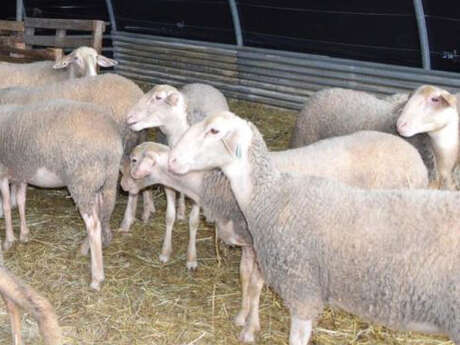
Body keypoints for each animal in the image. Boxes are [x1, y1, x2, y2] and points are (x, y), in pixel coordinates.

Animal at [0, 99, 124, 290]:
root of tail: (113, 141)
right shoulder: (22, 173)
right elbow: (21, 201)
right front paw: (24, 234)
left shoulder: (3, 171)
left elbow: (7, 205)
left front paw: (9, 240)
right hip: (96, 182)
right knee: (100, 213)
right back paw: (85, 249)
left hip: (82, 180)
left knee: (94, 224)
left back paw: (96, 277)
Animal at [126, 82, 230, 268]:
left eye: (158, 97)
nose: (129, 116)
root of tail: (202, 84)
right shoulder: (167, 181)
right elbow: (169, 217)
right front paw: (165, 252)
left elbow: (194, 222)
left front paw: (191, 258)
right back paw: (181, 210)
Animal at [169, 110, 460, 344]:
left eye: (214, 130)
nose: (173, 160)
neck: (269, 191)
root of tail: (410, 152)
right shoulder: (251, 245)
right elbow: (244, 277)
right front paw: (242, 318)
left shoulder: (297, 282)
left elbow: (255, 287)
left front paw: (250, 329)